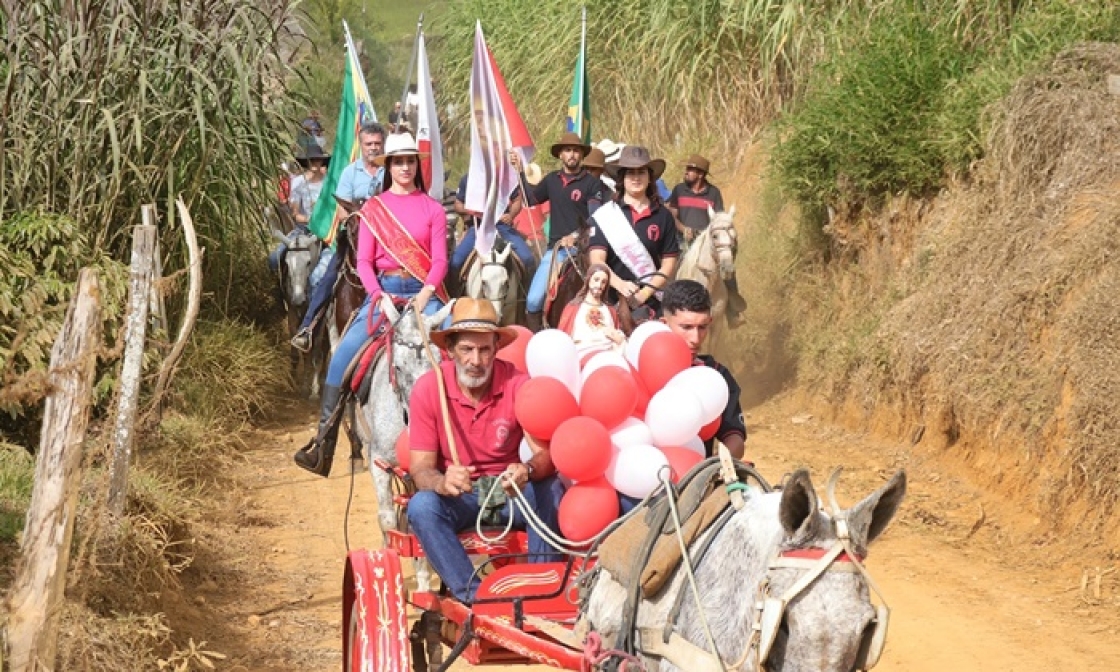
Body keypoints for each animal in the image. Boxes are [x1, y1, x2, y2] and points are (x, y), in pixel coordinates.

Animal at [275, 230, 327, 398]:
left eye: (309, 262)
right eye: (286, 263)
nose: (298, 299)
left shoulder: (321, 317)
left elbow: (316, 353)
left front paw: (314, 390)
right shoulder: (293, 313)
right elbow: (297, 354)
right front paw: (292, 383)